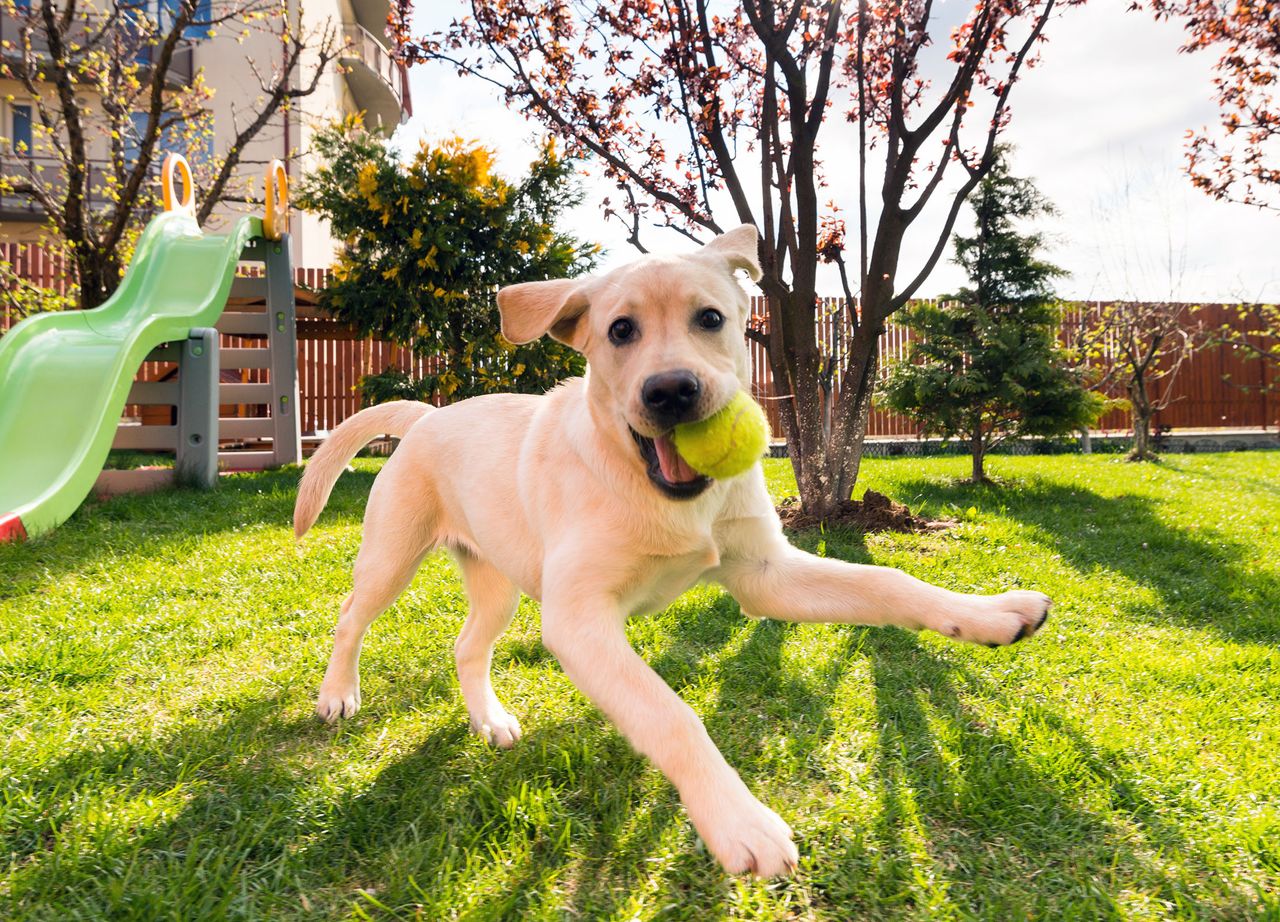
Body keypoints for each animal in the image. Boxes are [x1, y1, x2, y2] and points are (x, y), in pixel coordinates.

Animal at [296, 225, 1049, 881]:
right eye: (620, 331)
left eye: (710, 319)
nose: (671, 392)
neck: (659, 491)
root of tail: (428, 415)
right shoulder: (578, 619)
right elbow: (672, 715)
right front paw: (740, 822)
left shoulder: (766, 576)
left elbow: (890, 581)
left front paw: (992, 614)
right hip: (392, 557)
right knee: (349, 618)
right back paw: (338, 696)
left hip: (499, 583)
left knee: (466, 646)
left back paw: (491, 721)